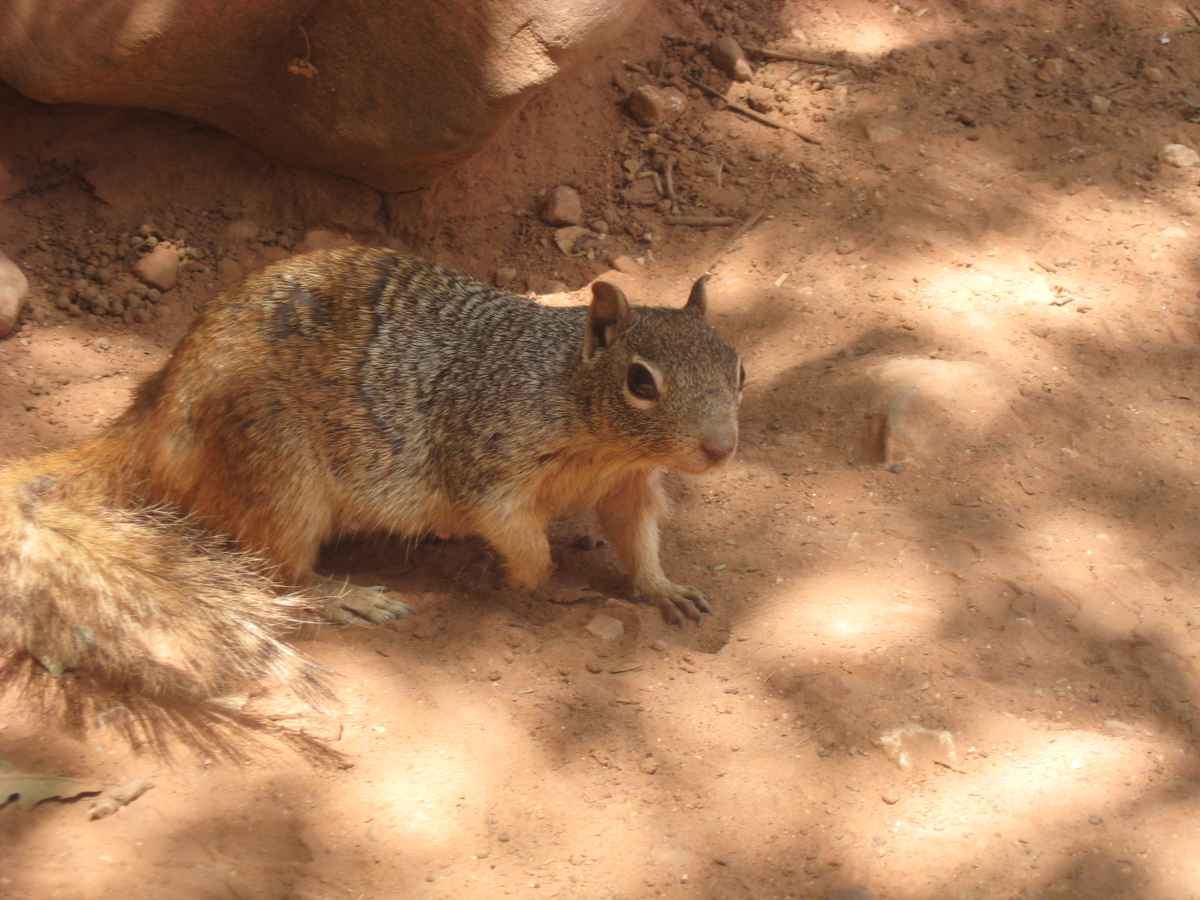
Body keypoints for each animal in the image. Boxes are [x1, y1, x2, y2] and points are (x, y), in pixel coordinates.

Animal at [0, 247, 743, 714]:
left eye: (737, 366)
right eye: (641, 383)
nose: (721, 448)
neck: (601, 439)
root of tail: (157, 414)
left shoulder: (630, 484)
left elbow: (637, 538)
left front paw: (663, 589)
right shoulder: (488, 461)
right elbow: (516, 535)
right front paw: (539, 582)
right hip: (280, 476)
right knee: (279, 578)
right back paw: (349, 597)